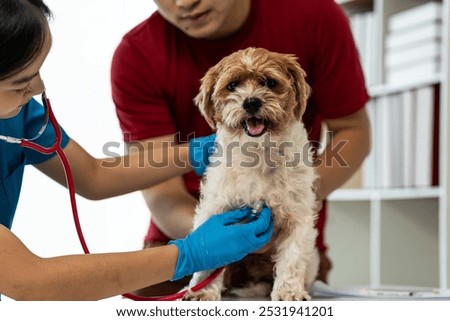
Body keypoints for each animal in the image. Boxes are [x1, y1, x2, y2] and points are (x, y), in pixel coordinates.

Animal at [186, 47, 320, 300]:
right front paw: (202, 291)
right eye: (232, 85)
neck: (259, 153)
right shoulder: (216, 211)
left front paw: (289, 292)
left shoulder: (297, 217)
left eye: (269, 82)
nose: (251, 102)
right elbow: (209, 256)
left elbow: (292, 258)